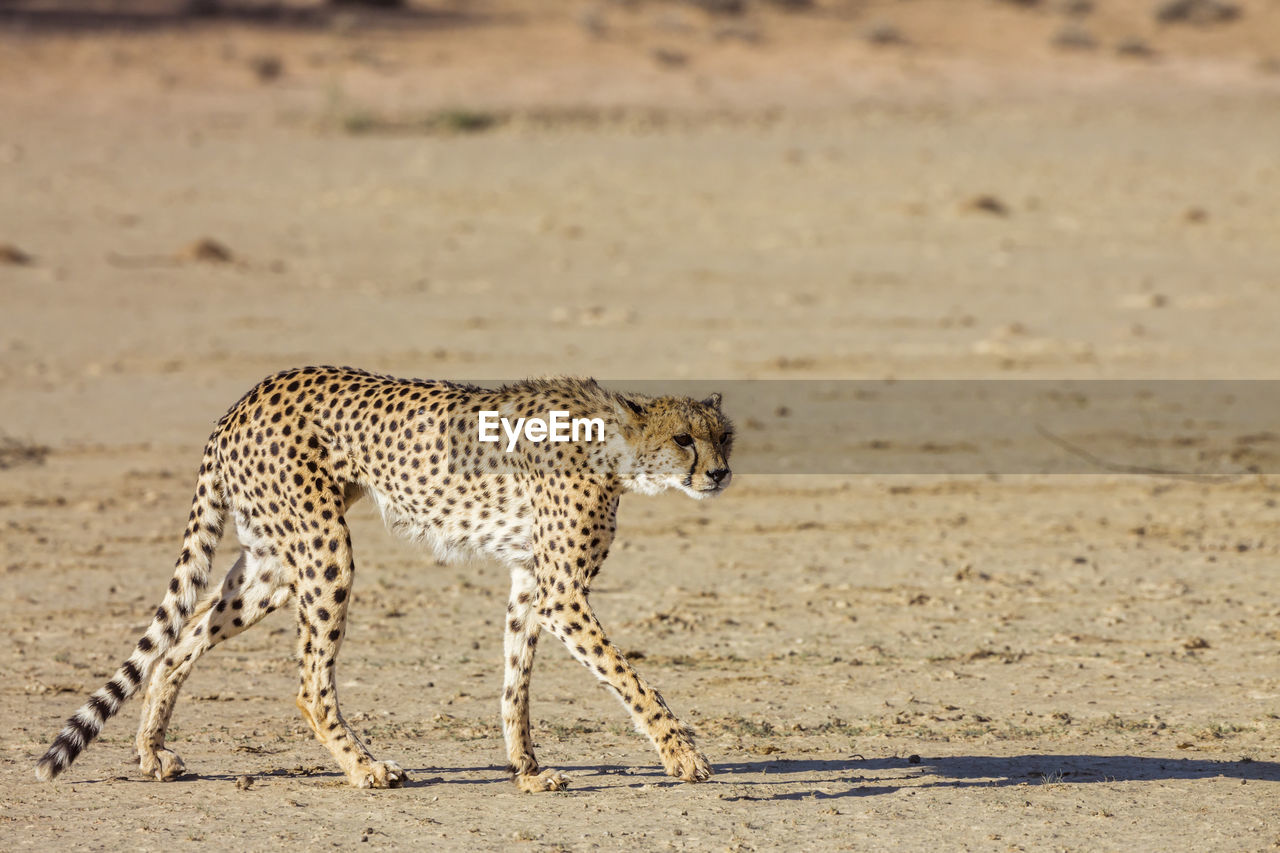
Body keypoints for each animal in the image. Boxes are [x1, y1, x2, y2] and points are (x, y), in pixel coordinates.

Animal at [35, 366, 737, 788]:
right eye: (684, 438)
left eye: (724, 436)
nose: (721, 473)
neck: (615, 448)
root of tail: (248, 395)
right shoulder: (563, 592)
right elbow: (629, 679)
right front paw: (683, 755)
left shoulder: (532, 582)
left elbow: (517, 683)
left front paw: (528, 771)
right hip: (324, 553)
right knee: (309, 687)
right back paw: (366, 769)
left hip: (273, 565)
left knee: (178, 643)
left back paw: (153, 752)